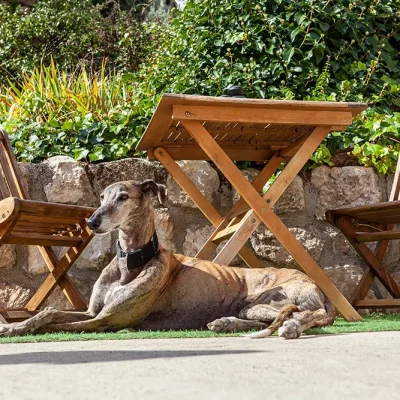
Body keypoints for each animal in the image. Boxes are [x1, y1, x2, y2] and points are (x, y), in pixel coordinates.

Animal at [0, 180, 334, 340]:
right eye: (101, 197)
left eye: (123, 197)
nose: (91, 222)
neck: (130, 262)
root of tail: (321, 290)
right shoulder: (92, 311)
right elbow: (48, 315)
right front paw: (14, 327)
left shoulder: (104, 320)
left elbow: (54, 323)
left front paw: (20, 329)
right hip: (251, 306)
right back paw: (225, 323)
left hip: (279, 299)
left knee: (307, 315)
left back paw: (292, 327)